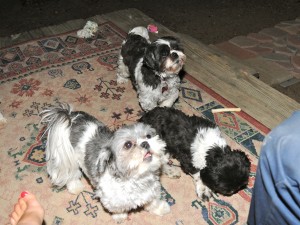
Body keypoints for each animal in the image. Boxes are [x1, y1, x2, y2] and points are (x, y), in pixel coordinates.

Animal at [39, 103, 171, 223]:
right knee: (71, 174)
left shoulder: (151, 191)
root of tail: (70, 117)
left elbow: (153, 202)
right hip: (68, 155)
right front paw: (120, 217)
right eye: (128, 144)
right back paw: (75, 187)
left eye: (148, 136)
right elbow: (118, 209)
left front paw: (160, 208)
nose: (145, 143)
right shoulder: (112, 200)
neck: (137, 179)